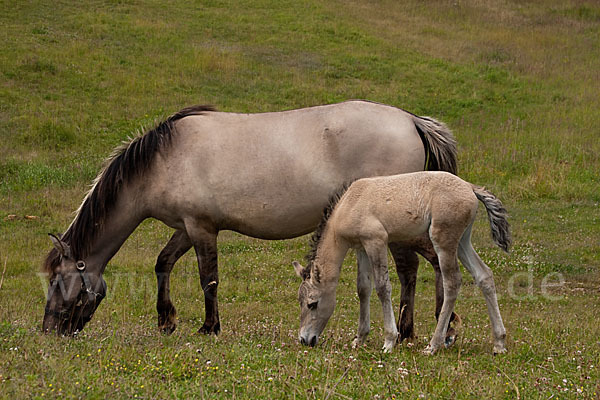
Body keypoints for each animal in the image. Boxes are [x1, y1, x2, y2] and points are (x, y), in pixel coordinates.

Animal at [41, 100, 460, 338]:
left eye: (58, 280)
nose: (49, 330)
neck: (163, 159)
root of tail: (410, 120)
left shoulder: (201, 228)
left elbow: (208, 278)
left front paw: (209, 327)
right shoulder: (186, 228)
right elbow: (163, 264)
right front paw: (166, 320)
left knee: (409, 270)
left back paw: (407, 331)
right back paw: (443, 325)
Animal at [292, 170, 508, 354]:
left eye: (312, 304)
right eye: (300, 302)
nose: (305, 339)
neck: (351, 203)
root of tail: (469, 187)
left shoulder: (376, 241)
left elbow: (382, 288)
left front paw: (389, 340)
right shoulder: (361, 248)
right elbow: (363, 289)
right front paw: (359, 339)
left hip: (444, 240)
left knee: (452, 283)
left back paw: (433, 345)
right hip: (462, 241)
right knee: (484, 275)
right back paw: (499, 343)